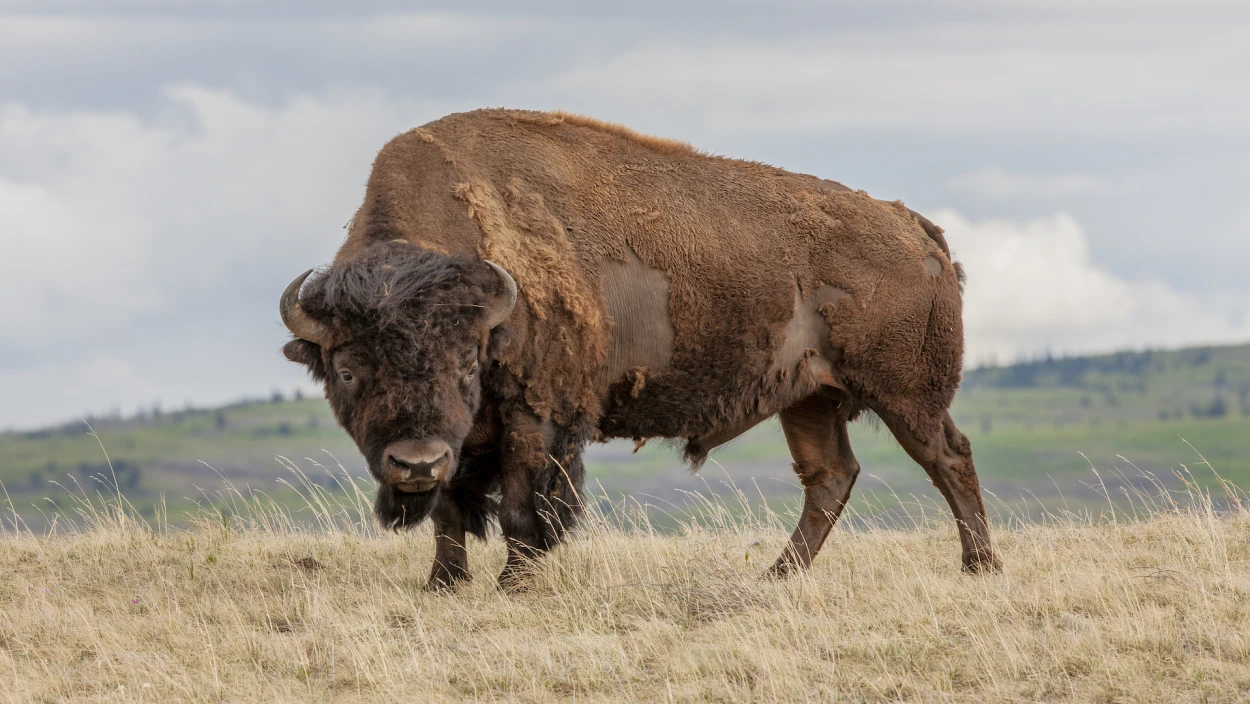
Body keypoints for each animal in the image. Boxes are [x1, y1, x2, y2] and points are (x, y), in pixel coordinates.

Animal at [278, 108, 1000, 590]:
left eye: (465, 363)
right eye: (347, 370)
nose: (414, 462)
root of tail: (912, 225)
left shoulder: (536, 417)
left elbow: (521, 509)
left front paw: (514, 585)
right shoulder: (466, 440)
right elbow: (451, 510)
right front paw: (443, 586)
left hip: (906, 393)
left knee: (949, 458)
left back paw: (979, 566)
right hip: (810, 398)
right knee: (830, 477)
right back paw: (776, 577)